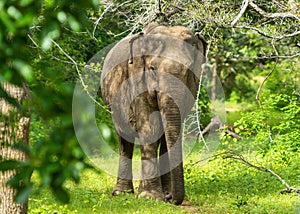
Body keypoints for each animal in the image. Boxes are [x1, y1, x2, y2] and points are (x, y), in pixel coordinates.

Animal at [101, 22, 206, 205]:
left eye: (188, 71)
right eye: (152, 68)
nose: (171, 198)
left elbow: (167, 133)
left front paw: (162, 195)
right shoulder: (137, 80)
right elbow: (150, 127)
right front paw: (150, 197)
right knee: (124, 139)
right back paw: (122, 193)